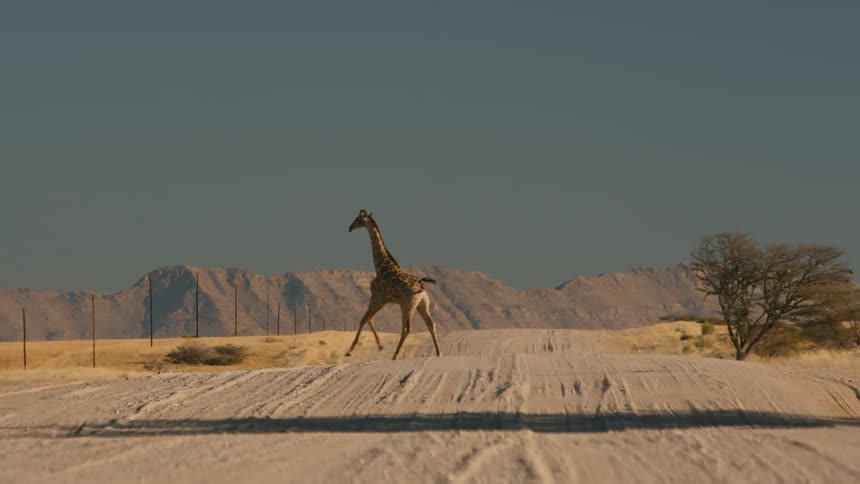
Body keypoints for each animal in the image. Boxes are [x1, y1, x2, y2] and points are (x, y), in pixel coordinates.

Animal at [345, 209, 442, 360]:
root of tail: (421, 288)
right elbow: (369, 319)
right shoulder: (383, 300)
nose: (350, 227)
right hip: (422, 304)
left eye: (358, 220)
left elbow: (363, 320)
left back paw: (395, 355)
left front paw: (350, 351)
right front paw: (379, 346)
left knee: (407, 328)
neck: (380, 267)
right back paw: (438, 353)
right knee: (430, 324)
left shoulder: (377, 297)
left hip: (407, 305)